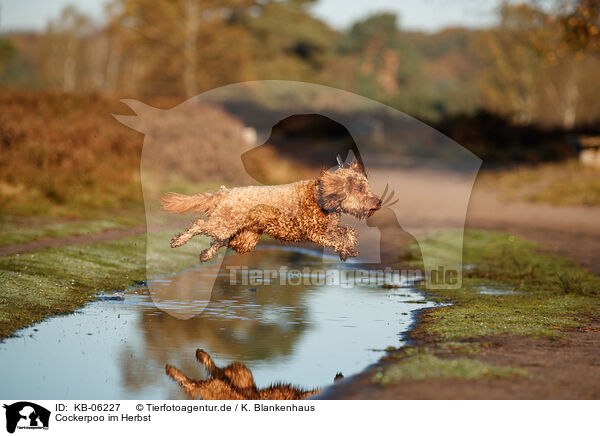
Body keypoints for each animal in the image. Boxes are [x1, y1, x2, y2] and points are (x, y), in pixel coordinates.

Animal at [162, 161, 382, 260]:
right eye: (360, 189)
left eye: (366, 187)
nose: (379, 201)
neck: (322, 196)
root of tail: (226, 192)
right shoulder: (314, 232)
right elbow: (335, 240)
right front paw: (344, 249)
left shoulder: (329, 228)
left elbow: (348, 231)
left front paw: (349, 247)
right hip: (224, 223)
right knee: (200, 225)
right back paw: (178, 241)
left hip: (245, 238)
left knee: (220, 240)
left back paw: (206, 254)